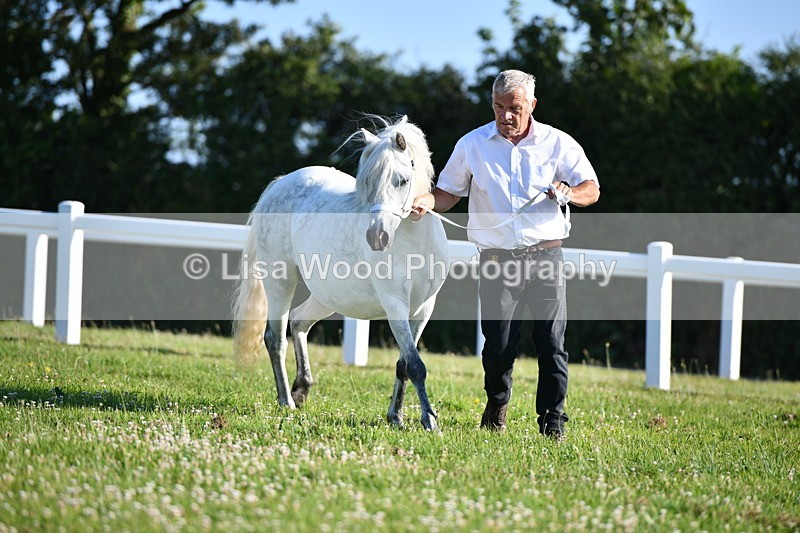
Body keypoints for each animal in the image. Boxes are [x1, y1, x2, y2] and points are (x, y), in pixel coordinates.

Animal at [232, 116, 448, 431]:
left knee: (299, 322)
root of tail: (280, 183)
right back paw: (286, 401)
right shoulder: (395, 305)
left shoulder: (422, 308)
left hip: (328, 295)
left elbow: (405, 364)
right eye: (368, 181)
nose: (377, 237)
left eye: (402, 180)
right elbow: (416, 365)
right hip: (280, 279)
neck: (411, 239)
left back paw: (302, 389)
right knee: (275, 338)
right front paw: (429, 419)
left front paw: (396, 416)